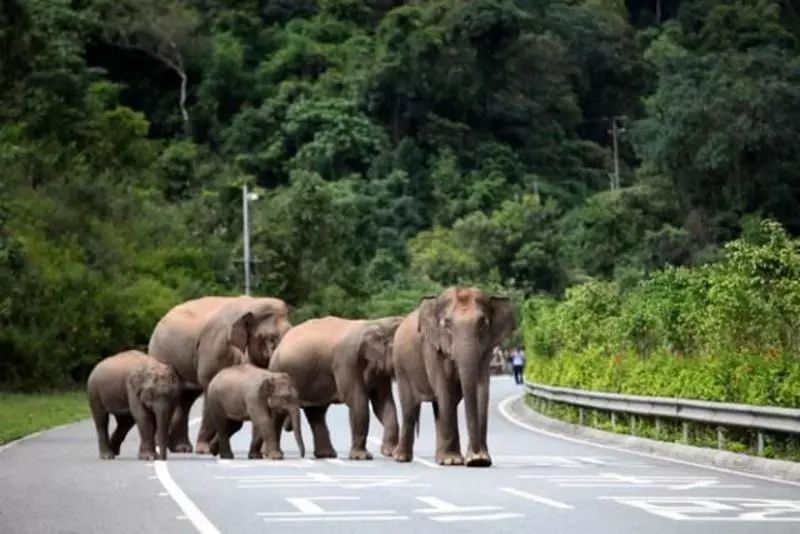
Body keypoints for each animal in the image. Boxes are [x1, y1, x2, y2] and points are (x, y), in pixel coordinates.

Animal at [147, 296, 290, 454]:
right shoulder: (215, 348)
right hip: (160, 353)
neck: (253, 304)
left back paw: (181, 448)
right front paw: (204, 449)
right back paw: (163, 446)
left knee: (187, 398)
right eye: (270, 338)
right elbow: (211, 387)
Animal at [268, 318, 404, 460]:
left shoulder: (379, 369)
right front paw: (362, 457)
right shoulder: (346, 360)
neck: (378, 324)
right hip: (279, 370)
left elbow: (382, 402)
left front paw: (389, 452)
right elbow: (357, 400)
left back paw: (326, 454)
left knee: (316, 413)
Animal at [392, 288, 516, 468]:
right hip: (401, 367)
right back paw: (402, 458)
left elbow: (481, 390)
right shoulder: (431, 346)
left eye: (483, 323)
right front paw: (455, 460)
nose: (476, 457)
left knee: (438, 408)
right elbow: (444, 390)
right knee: (410, 408)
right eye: (447, 323)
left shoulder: (486, 349)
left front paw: (479, 460)